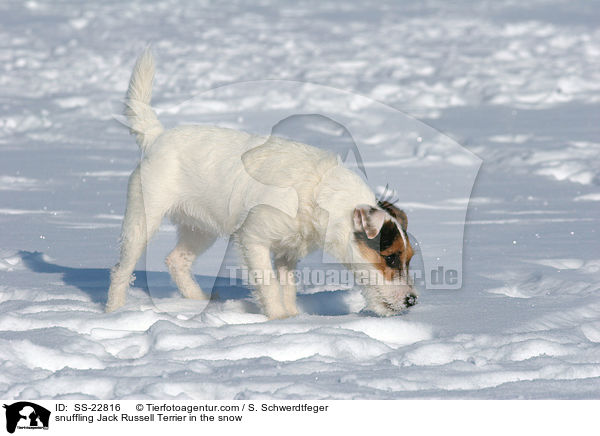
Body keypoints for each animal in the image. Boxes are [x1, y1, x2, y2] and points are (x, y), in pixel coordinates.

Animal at [106, 49, 418, 318]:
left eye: (409, 257)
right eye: (390, 258)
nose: (412, 300)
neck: (320, 194)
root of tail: (157, 137)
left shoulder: (287, 253)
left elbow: (287, 287)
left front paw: (294, 317)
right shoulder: (253, 240)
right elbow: (268, 284)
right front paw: (278, 319)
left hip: (200, 228)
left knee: (176, 261)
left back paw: (198, 301)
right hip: (143, 220)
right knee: (122, 270)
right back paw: (115, 310)